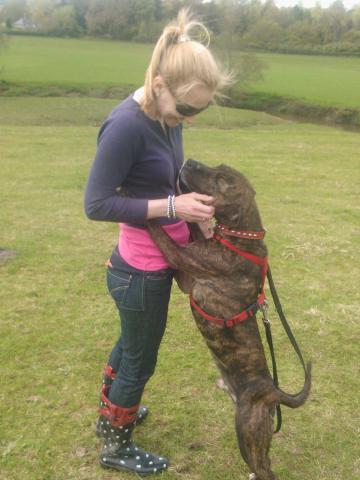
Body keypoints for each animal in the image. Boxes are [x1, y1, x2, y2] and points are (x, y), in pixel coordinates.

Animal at [146, 158, 310, 480]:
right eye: (218, 167)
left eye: (222, 179)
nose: (190, 160)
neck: (241, 237)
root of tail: (273, 392)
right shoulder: (188, 276)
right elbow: (192, 229)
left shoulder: (183, 262)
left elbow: (159, 232)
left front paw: (132, 201)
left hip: (248, 433)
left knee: (265, 468)